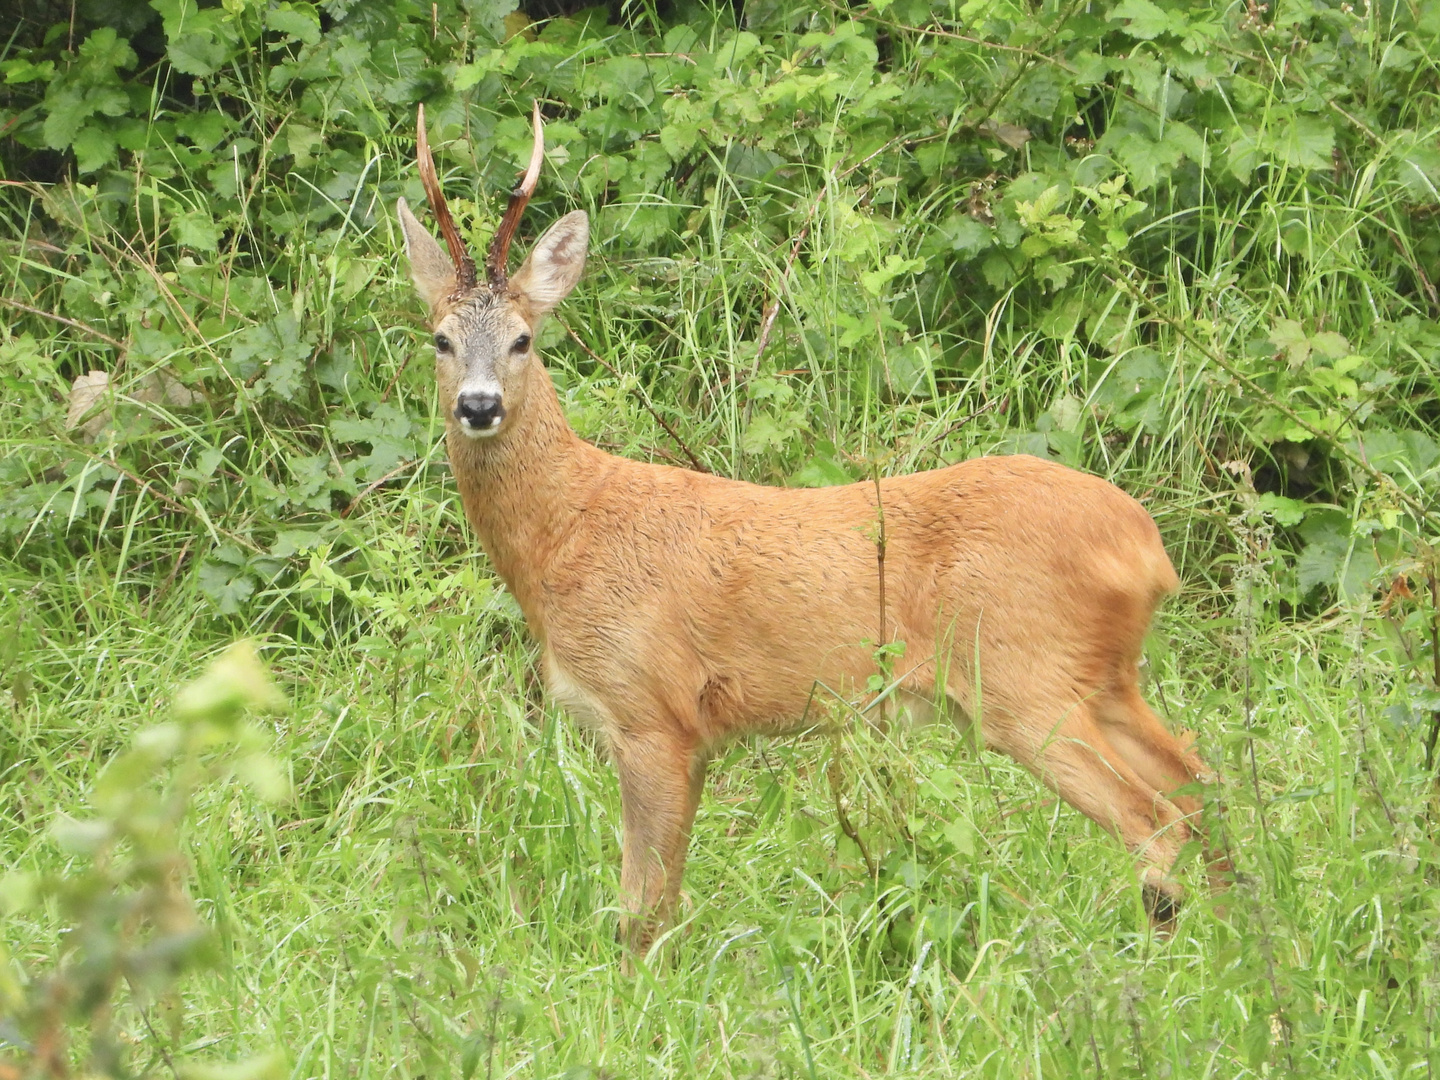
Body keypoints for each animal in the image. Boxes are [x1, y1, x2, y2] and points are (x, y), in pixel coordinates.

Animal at [397, 103, 1226, 956]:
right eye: (439, 338)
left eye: (523, 338)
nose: (479, 406)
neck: (566, 531)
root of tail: (1145, 546)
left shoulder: (653, 710)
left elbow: (643, 910)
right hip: (1103, 677)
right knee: (1205, 791)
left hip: (1025, 680)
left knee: (1156, 822)